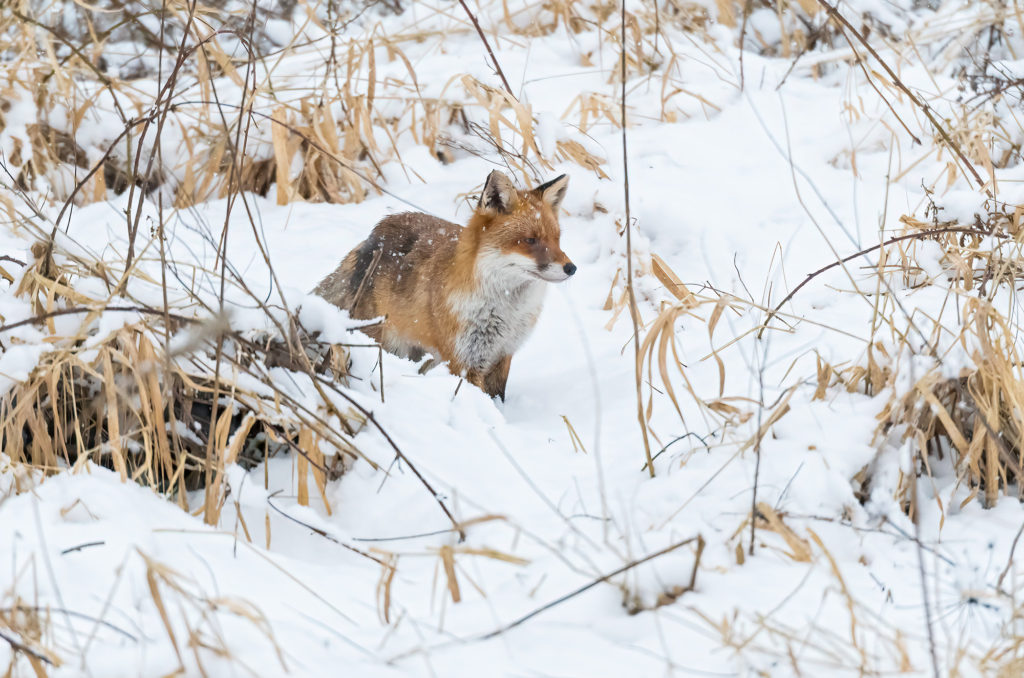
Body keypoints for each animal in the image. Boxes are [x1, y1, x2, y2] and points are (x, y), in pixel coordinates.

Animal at [315, 170, 573, 401]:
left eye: (557, 239)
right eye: (530, 240)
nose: (571, 268)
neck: (507, 312)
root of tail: (372, 236)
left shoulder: (503, 353)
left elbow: (498, 399)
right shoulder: (463, 359)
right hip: (384, 342)